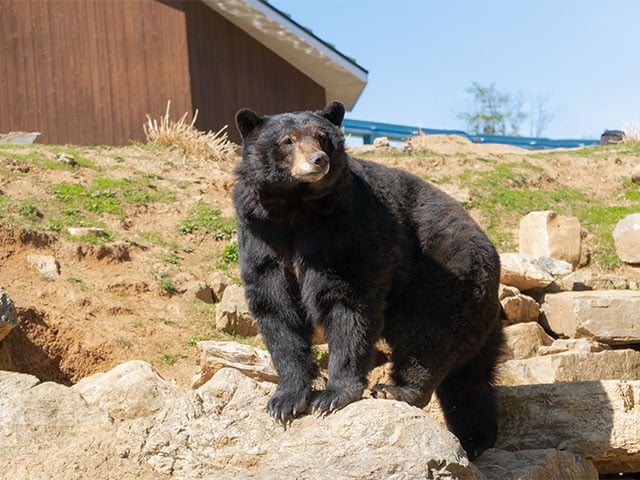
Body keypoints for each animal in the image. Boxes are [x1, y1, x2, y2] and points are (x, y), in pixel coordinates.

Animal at [232, 101, 505, 459]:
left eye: (322, 137)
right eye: (287, 140)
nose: (319, 160)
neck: (296, 207)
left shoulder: (346, 227)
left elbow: (350, 302)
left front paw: (332, 396)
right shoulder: (260, 229)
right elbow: (276, 307)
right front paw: (285, 401)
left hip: (447, 275)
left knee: (430, 334)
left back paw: (397, 390)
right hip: (479, 314)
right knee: (469, 379)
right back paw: (478, 439)